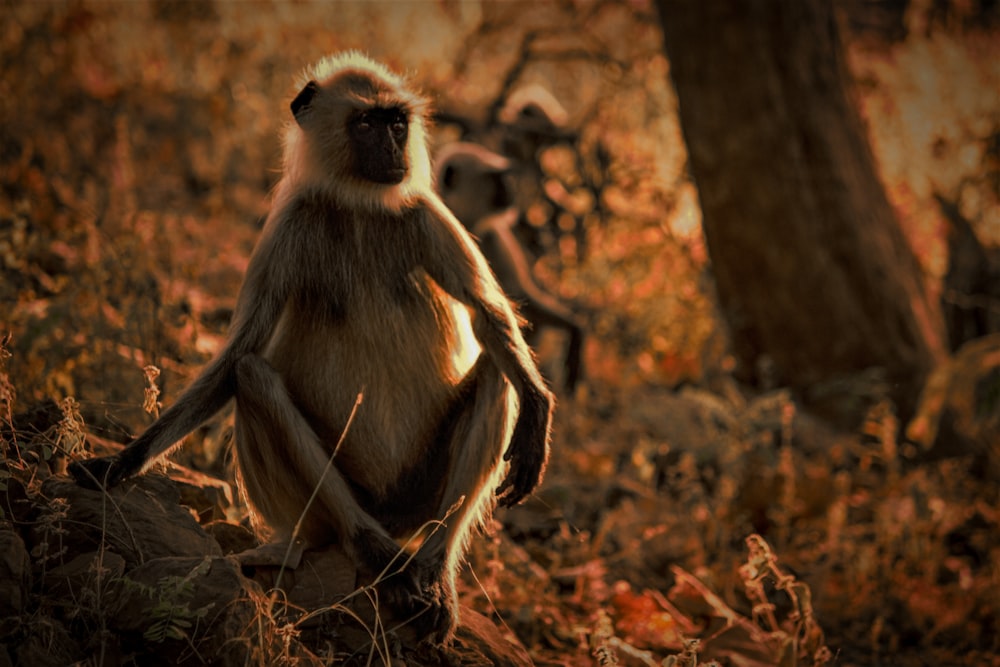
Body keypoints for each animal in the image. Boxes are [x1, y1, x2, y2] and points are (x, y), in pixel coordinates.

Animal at [70, 49, 556, 644]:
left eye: (396, 123)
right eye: (366, 124)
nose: (392, 149)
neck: (360, 205)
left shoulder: (424, 212)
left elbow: (490, 318)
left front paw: (538, 412)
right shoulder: (289, 225)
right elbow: (235, 357)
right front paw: (120, 463)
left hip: (417, 500)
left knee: (494, 375)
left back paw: (433, 571)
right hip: (314, 513)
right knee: (253, 375)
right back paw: (374, 553)